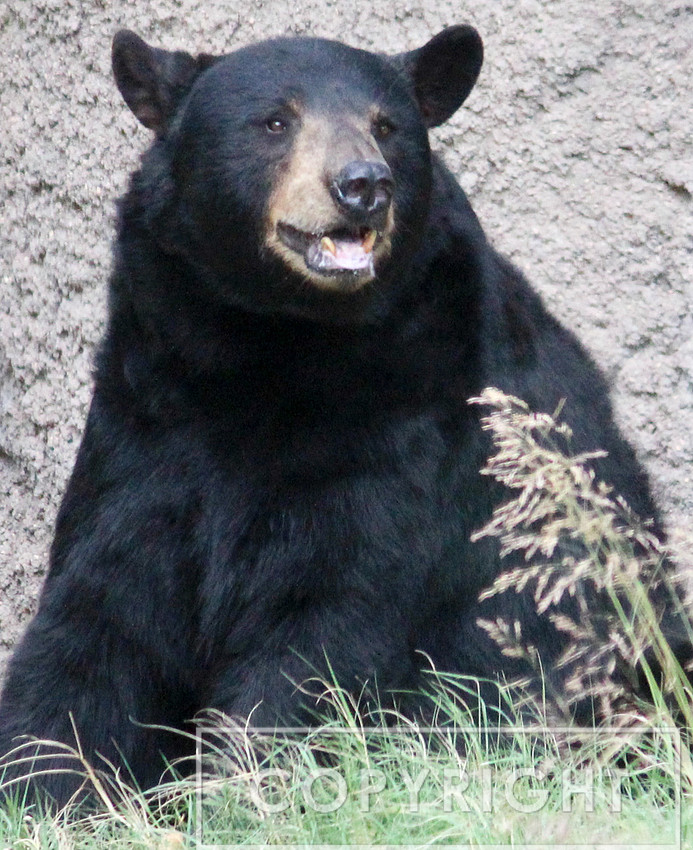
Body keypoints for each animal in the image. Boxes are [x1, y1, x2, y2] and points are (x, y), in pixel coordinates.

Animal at [0, 25, 687, 808]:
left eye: (386, 127)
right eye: (275, 121)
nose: (363, 185)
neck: (269, 342)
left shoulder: (402, 421)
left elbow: (327, 615)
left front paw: (248, 793)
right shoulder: (146, 415)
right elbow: (102, 604)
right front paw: (45, 788)